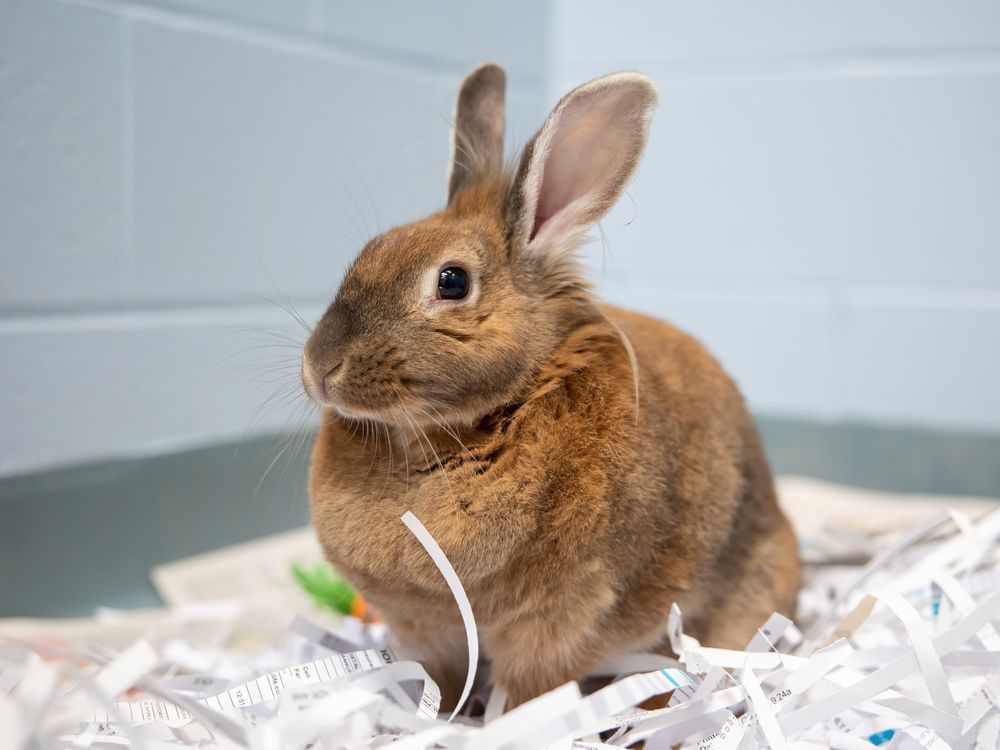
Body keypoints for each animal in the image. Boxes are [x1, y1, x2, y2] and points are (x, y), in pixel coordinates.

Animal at [302, 62, 800, 709]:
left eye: (452, 281)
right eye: (368, 251)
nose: (319, 368)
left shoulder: (557, 622)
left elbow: (530, 692)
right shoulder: (425, 632)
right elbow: (440, 680)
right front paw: (440, 718)